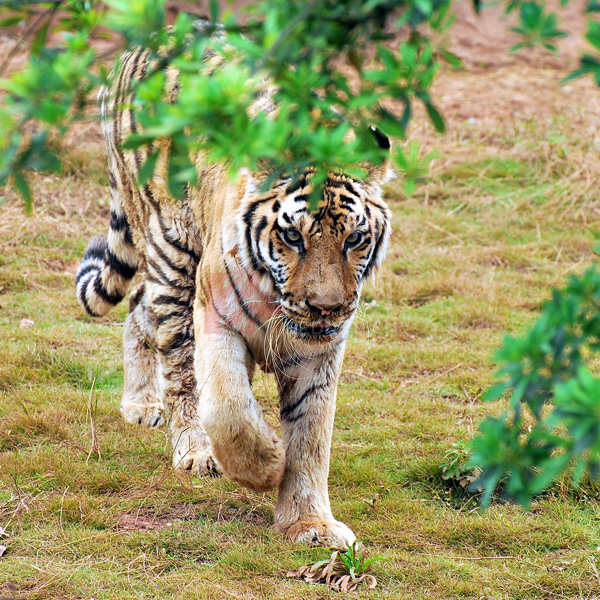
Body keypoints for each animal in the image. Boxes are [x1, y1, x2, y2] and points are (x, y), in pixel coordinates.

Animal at [75, 43, 392, 548]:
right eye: (293, 237)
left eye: (354, 239)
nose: (326, 308)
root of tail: (135, 49)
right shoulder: (215, 318)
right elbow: (227, 408)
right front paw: (266, 465)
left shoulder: (322, 351)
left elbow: (312, 434)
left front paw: (311, 524)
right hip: (174, 255)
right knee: (175, 360)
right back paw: (189, 445)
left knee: (138, 303)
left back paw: (140, 403)